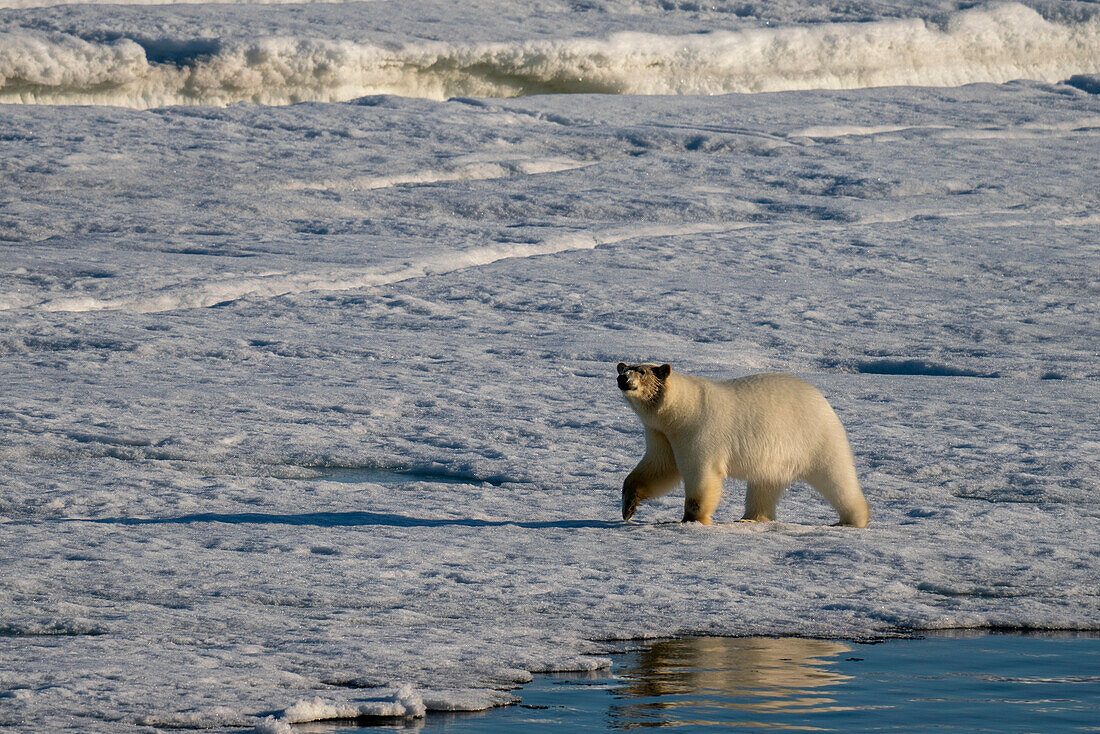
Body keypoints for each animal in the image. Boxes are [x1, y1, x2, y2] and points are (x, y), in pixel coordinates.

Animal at [620, 363, 866, 528]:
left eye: (641, 371)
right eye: (625, 367)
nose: (622, 377)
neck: (683, 410)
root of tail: (823, 401)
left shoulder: (700, 430)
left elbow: (701, 473)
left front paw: (690, 519)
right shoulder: (661, 434)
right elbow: (659, 467)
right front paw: (628, 506)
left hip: (815, 438)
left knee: (836, 477)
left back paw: (851, 520)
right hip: (775, 457)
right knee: (765, 484)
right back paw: (750, 518)